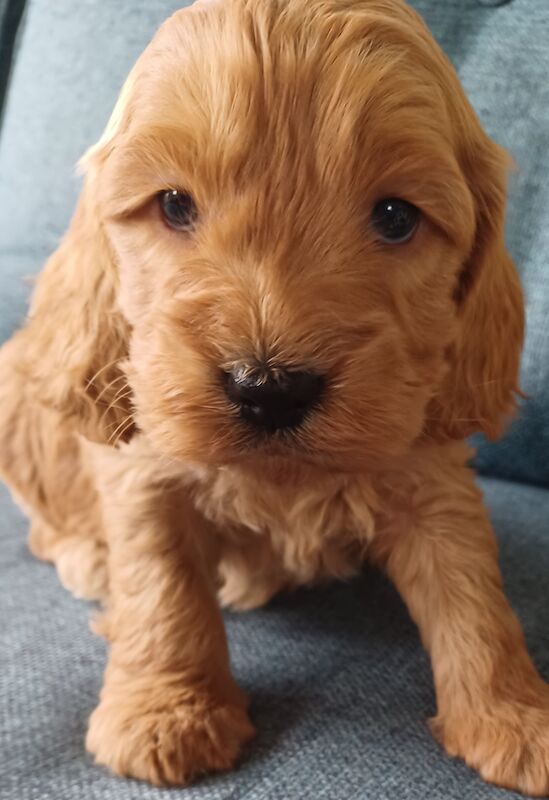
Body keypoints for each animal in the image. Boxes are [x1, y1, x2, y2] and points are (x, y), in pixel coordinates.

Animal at [1, 0, 548, 792]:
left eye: (395, 217)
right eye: (174, 205)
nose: (269, 388)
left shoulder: (428, 460)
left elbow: (470, 588)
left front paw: (515, 713)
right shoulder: (142, 465)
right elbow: (160, 583)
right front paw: (167, 710)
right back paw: (89, 559)